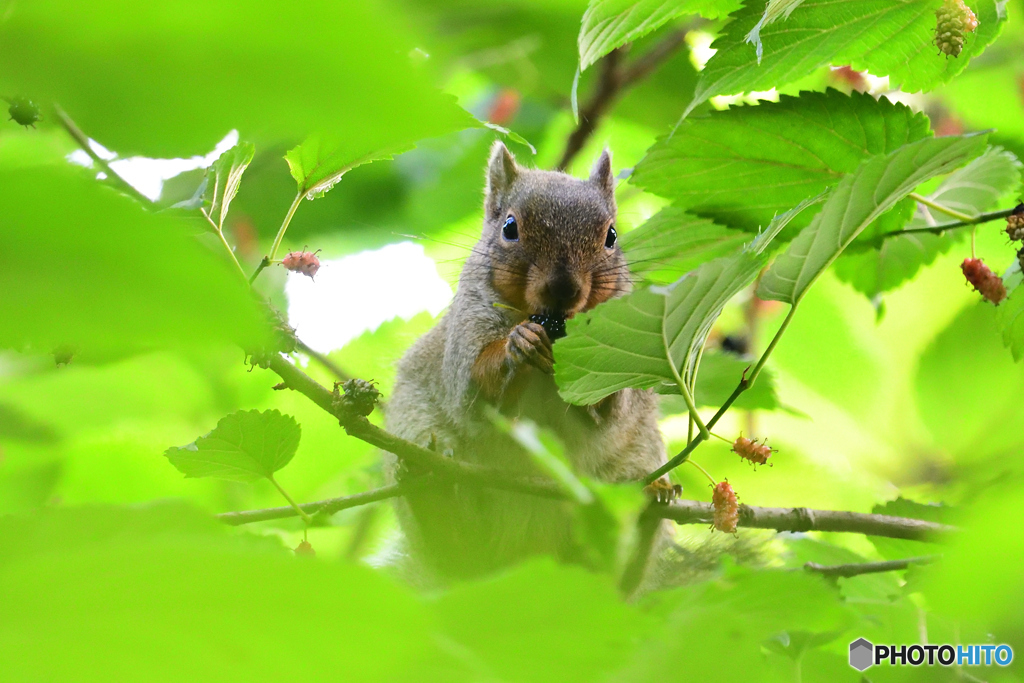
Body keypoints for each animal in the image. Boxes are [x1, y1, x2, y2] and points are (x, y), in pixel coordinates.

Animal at [385, 141, 671, 585]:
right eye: (509, 228)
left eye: (611, 236)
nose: (564, 289)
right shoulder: (467, 334)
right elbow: (473, 394)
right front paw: (516, 344)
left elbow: (608, 409)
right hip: (416, 431)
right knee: (451, 538)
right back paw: (430, 488)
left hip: (638, 458)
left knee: (614, 571)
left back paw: (649, 505)